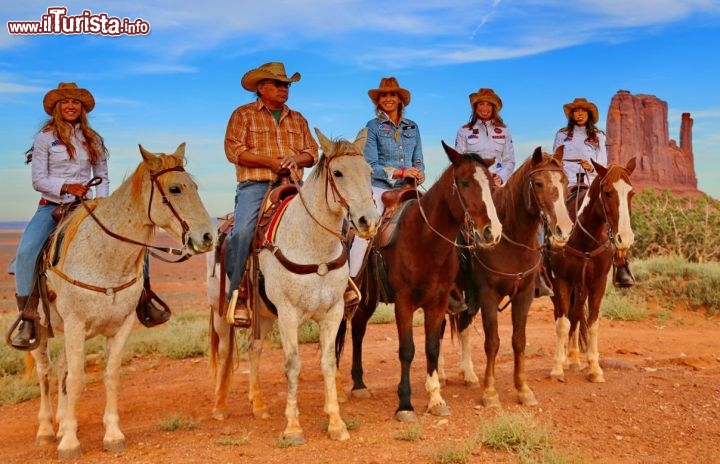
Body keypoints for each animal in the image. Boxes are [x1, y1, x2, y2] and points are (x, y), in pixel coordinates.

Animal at [29, 143, 215, 458]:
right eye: (175, 188)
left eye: (195, 187)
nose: (208, 237)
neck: (105, 256)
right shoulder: (76, 324)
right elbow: (76, 379)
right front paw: (69, 443)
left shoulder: (122, 325)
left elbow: (110, 376)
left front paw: (112, 435)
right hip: (41, 330)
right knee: (45, 372)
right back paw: (45, 430)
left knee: (62, 369)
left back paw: (64, 422)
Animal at [207, 128, 380, 446]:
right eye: (338, 173)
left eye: (369, 171)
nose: (368, 221)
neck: (312, 245)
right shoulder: (287, 314)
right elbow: (292, 365)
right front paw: (293, 427)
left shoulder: (333, 312)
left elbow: (328, 363)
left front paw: (336, 423)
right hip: (220, 313)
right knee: (225, 353)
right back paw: (220, 406)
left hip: (263, 315)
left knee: (254, 348)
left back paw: (259, 405)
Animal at [336, 140, 500, 420]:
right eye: (465, 182)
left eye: (491, 183)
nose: (492, 231)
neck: (424, 240)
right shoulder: (404, 302)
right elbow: (407, 350)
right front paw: (405, 404)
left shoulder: (438, 302)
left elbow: (432, 347)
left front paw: (435, 399)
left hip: (368, 300)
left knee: (357, 330)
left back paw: (359, 384)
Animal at [450, 145, 572, 406]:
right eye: (538, 183)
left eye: (565, 182)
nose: (563, 230)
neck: (510, 242)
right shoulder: (488, 295)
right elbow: (492, 342)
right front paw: (489, 393)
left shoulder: (523, 295)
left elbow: (518, 340)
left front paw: (523, 390)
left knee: (463, 327)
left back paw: (469, 375)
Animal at [548, 158, 640, 382]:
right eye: (607, 192)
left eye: (631, 193)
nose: (625, 237)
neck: (584, 238)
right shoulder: (562, 281)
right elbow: (562, 323)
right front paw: (557, 367)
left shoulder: (598, 283)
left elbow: (592, 323)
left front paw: (594, 368)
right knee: (563, 316)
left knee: (576, 315)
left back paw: (573, 358)